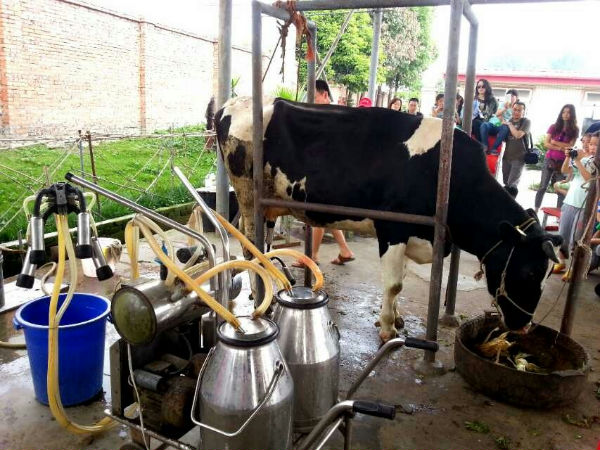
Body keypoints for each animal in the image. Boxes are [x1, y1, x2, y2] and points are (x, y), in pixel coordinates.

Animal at [214, 96, 561, 342]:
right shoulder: (393, 228)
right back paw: (264, 301)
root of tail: (231, 103)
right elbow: (395, 284)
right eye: (529, 272)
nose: (524, 328)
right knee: (250, 250)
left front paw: (396, 317)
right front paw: (386, 328)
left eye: (547, 274)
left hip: (268, 207)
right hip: (248, 196)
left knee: (262, 248)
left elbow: (400, 280)